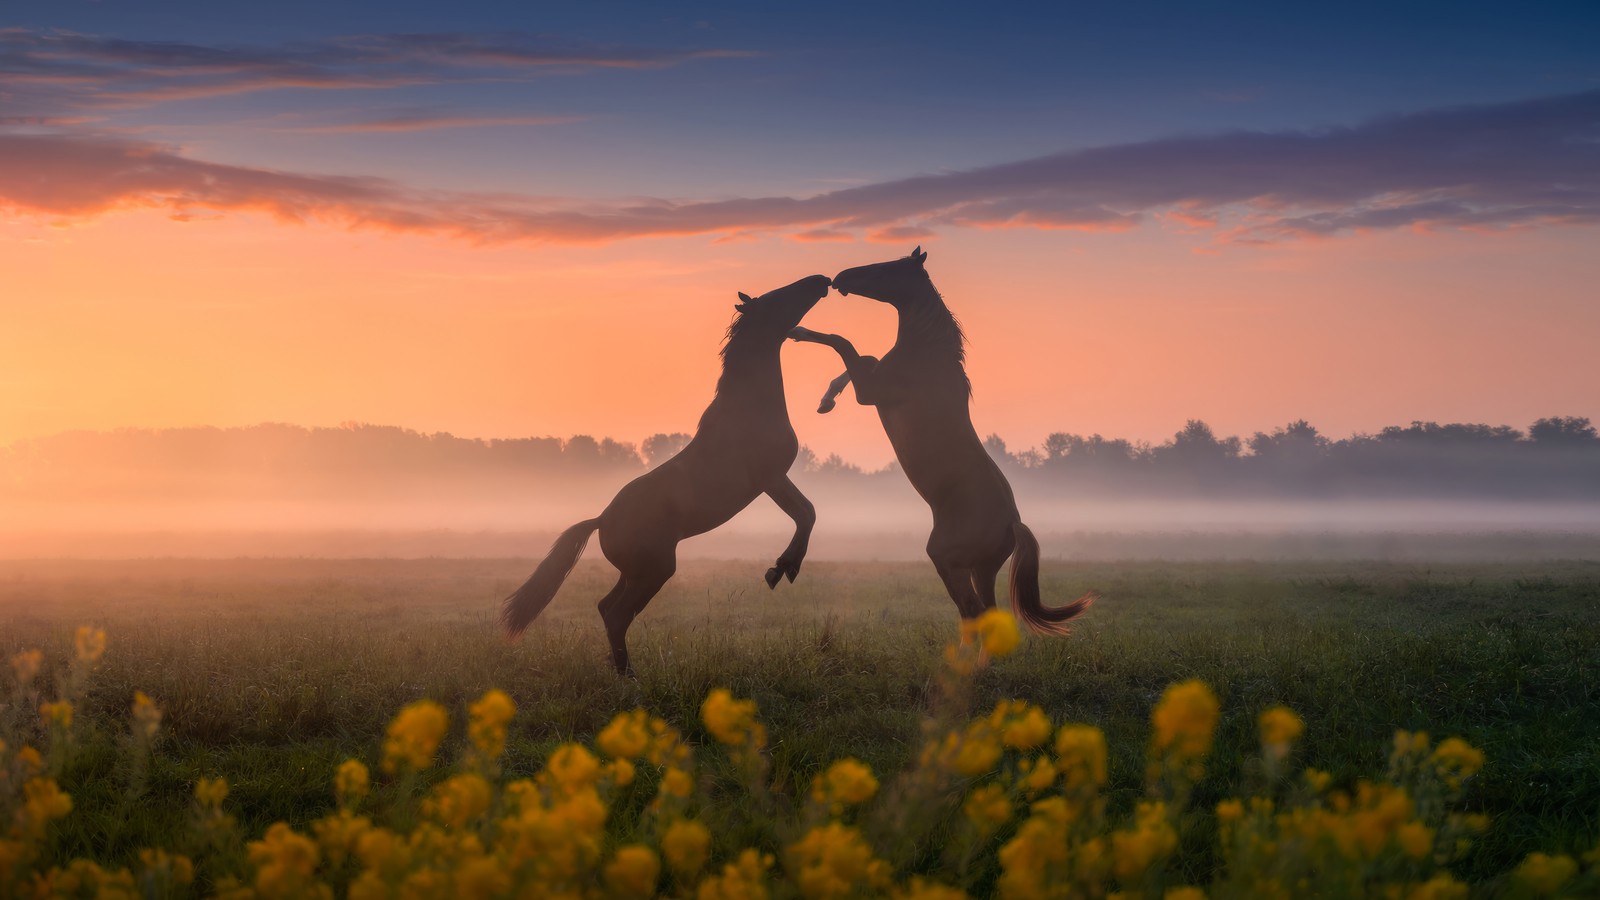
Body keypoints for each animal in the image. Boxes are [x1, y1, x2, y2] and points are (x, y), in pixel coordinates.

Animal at [499, 273, 832, 672]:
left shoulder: (777, 478)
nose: (821, 280)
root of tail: (601, 520)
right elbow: (806, 513)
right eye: (776, 298)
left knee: (606, 607)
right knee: (617, 615)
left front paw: (781, 568)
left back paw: (620, 668)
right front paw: (783, 568)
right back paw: (630, 676)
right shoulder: (770, 478)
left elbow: (807, 512)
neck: (751, 406)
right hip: (655, 570)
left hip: (634, 573)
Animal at [790, 246, 1094, 630]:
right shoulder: (871, 380)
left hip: (948, 561)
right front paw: (826, 401)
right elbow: (861, 355)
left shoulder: (870, 392)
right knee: (985, 613)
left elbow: (843, 343)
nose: (839, 279)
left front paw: (797, 331)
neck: (926, 356)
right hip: (982, 569)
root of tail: (1013, 524)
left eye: (887, 269)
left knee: (972, 610)